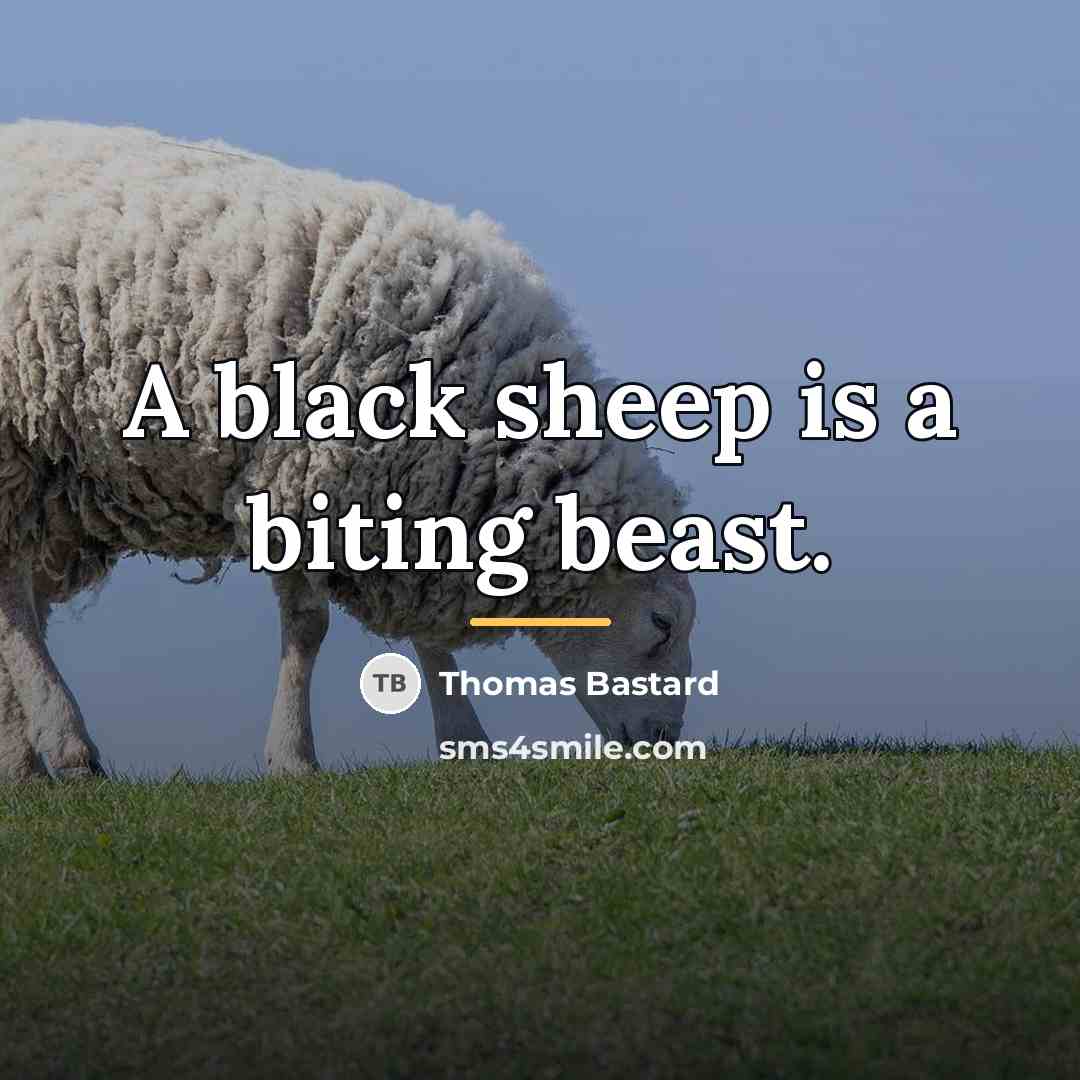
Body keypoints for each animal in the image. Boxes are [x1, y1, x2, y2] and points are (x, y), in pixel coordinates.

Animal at [0, 120, 696, 778]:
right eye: (662, 625)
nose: (664, 741)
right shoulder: (303, 477)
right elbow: (310, 629)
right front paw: (293, 755)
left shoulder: (407, 502)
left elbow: (425, 640)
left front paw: (464, 741)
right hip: (12, 451)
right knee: (13, 606)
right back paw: (67, 745)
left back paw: (24, 763)